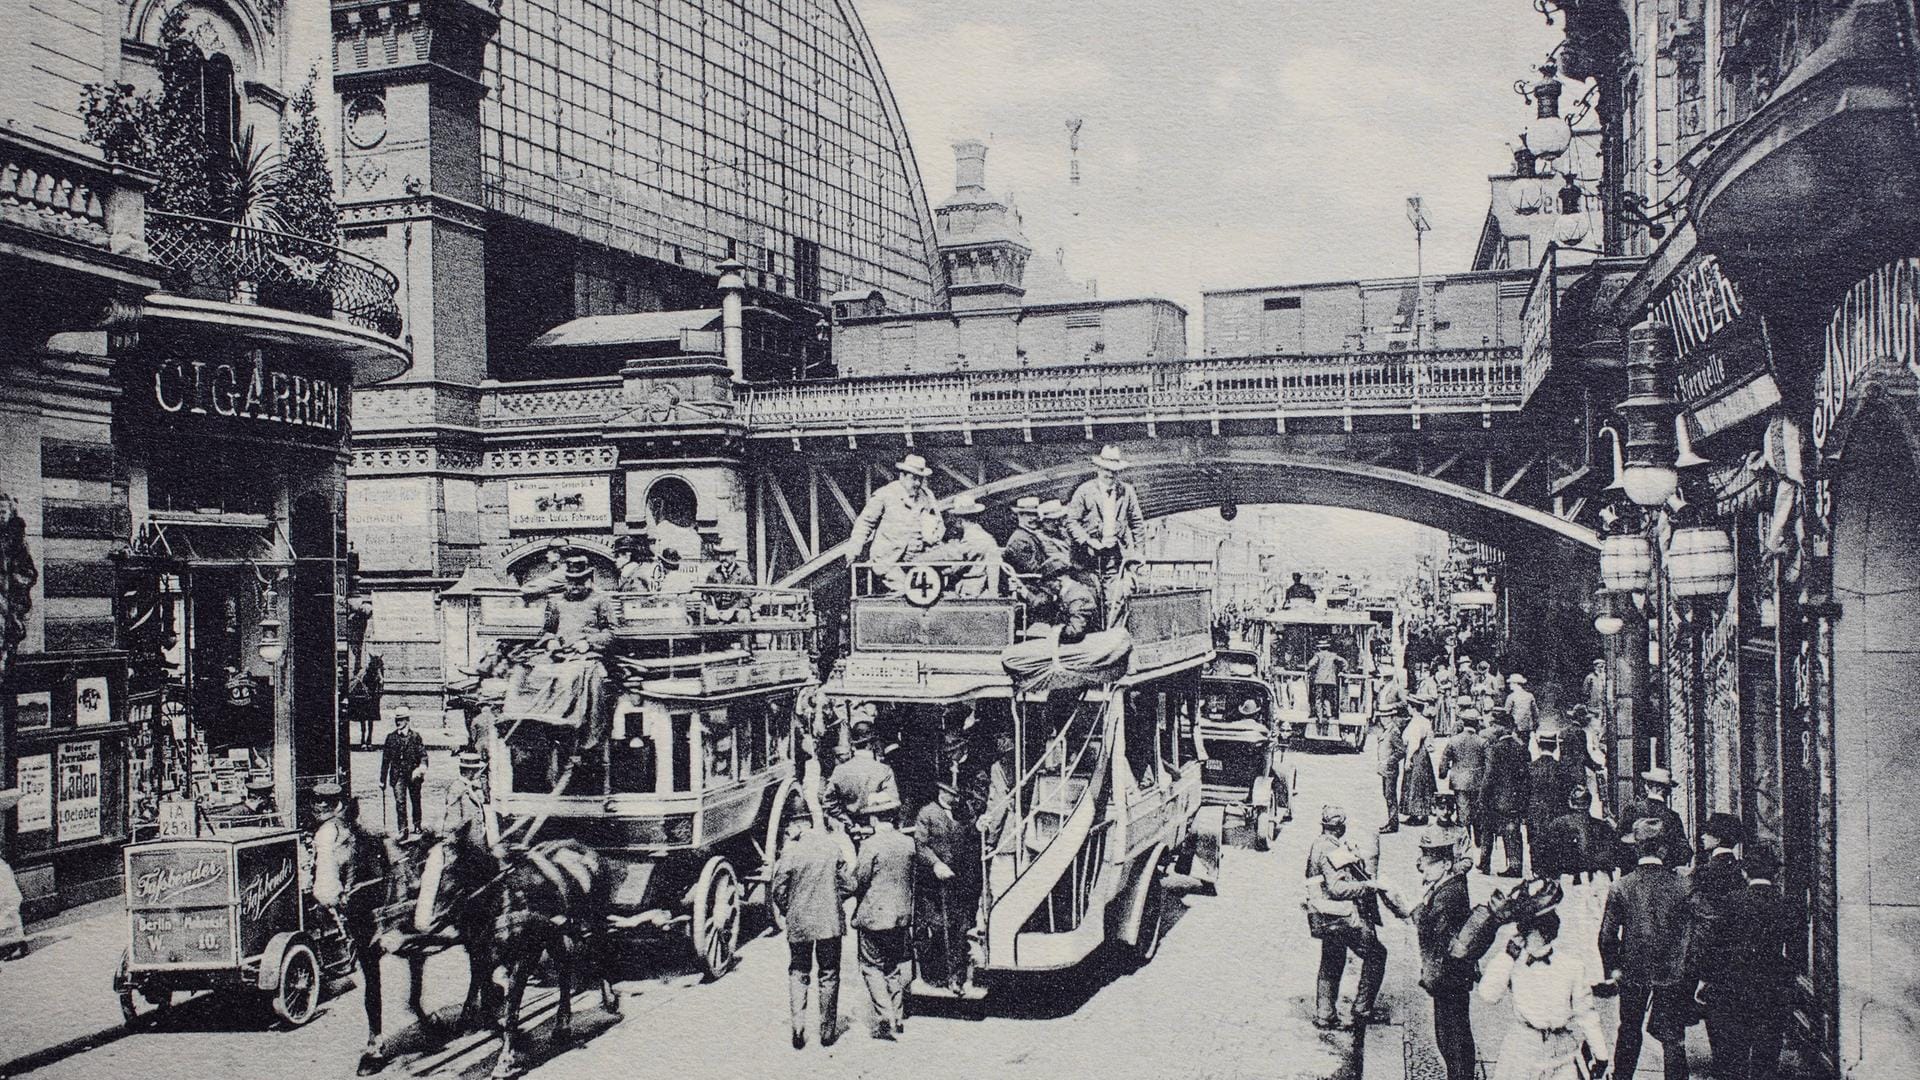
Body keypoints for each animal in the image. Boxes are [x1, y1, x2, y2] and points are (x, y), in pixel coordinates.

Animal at [412, 818, 622, 1068]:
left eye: (450, 868)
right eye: (421, 870)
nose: (427, 922)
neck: (501, 897)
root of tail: (583, 847)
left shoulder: (524, 956)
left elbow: (511, 1005)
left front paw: (506, 1059)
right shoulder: (480, 955)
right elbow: (484, 1000)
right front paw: (510, 1035)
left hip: (595, 919)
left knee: (601, 950)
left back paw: (609, 999)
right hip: (557, 933)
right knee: (564, 968)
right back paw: (562, 1025)